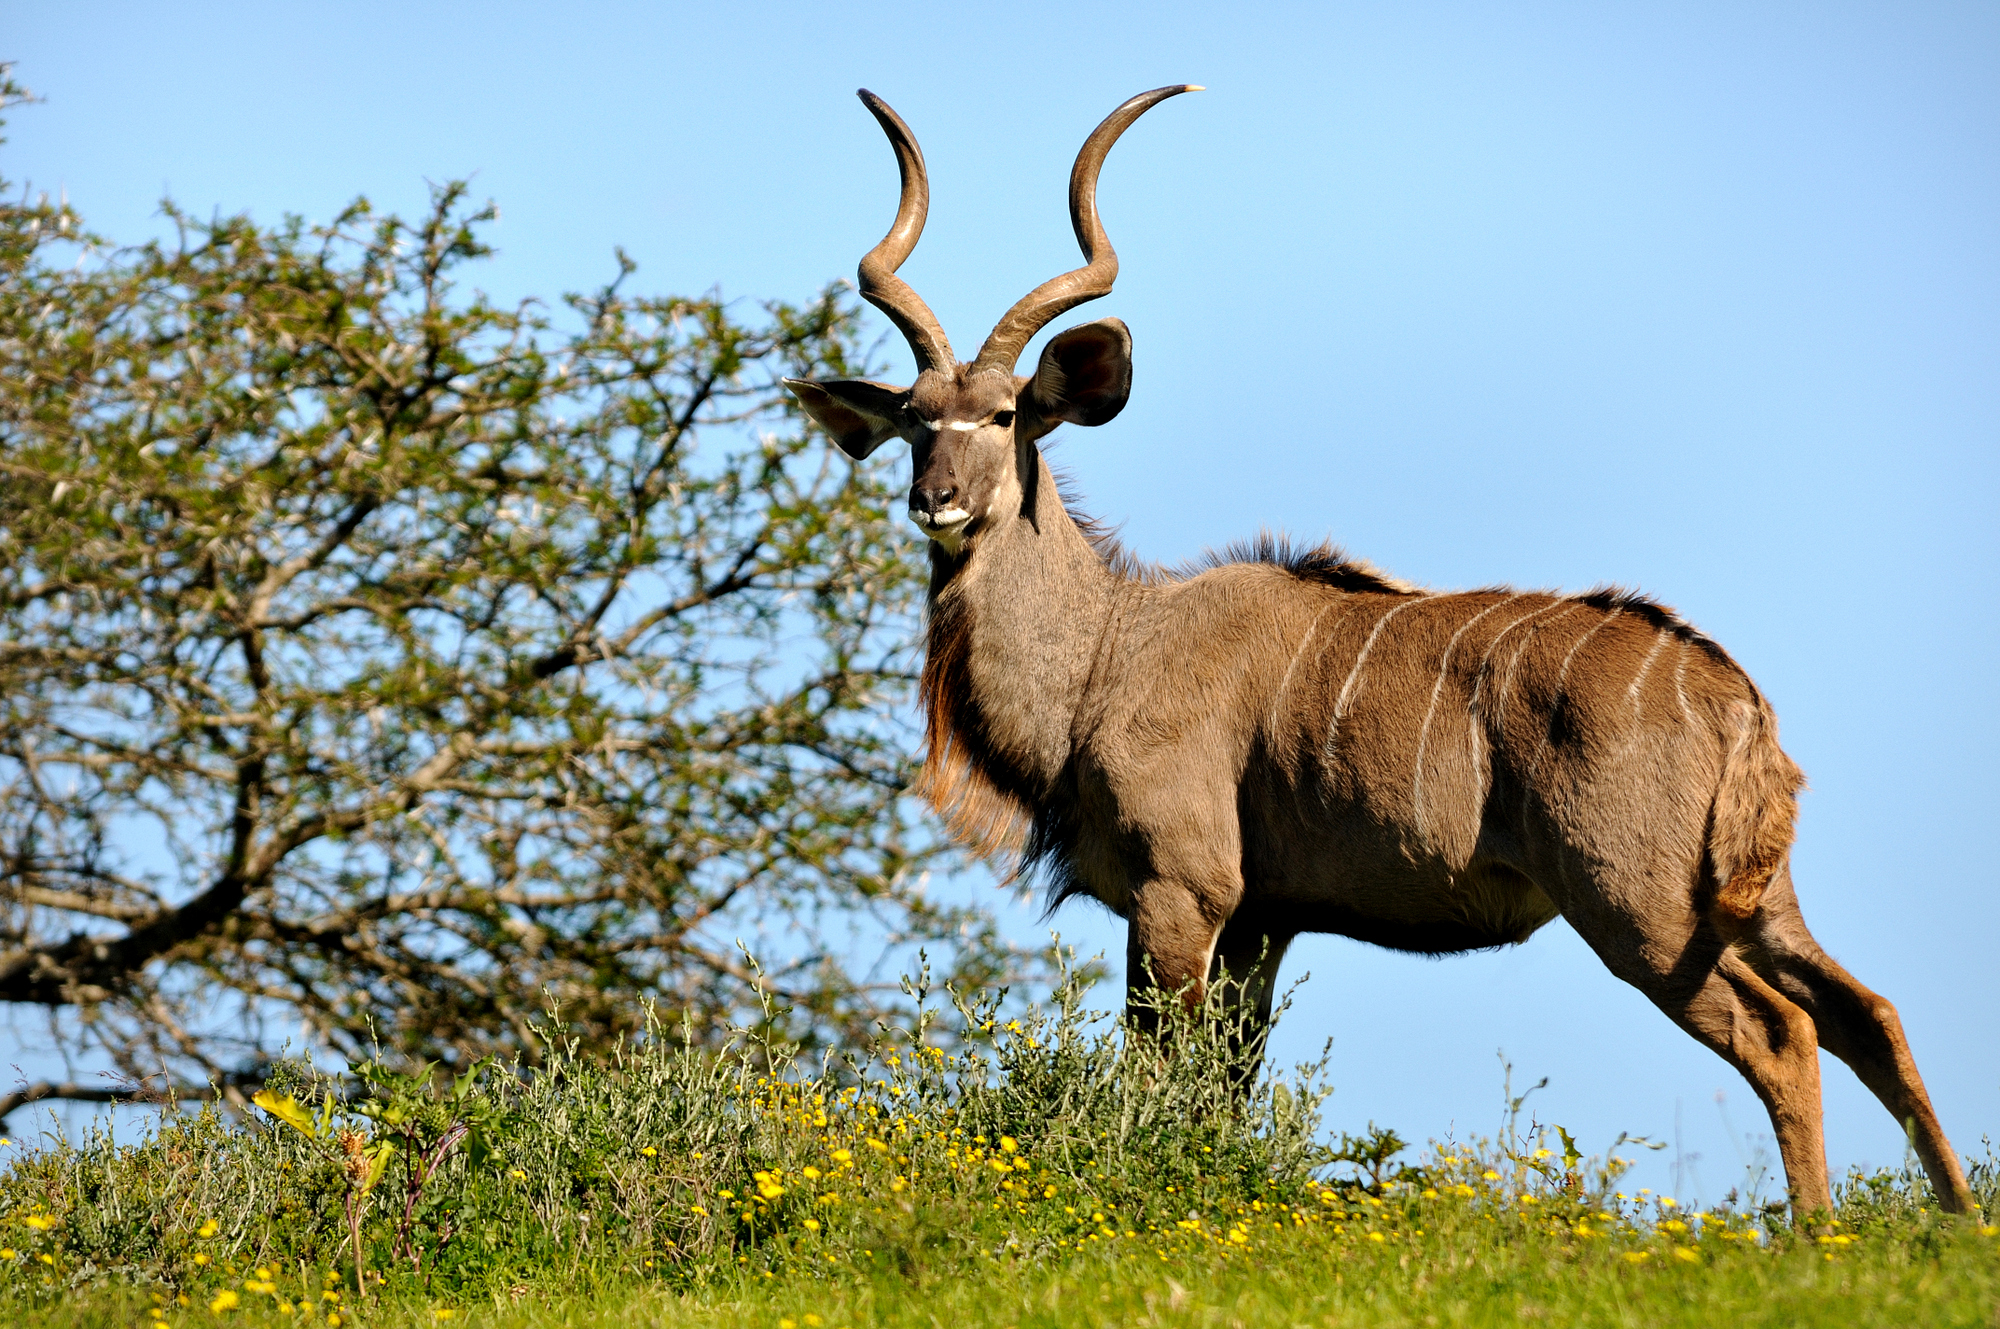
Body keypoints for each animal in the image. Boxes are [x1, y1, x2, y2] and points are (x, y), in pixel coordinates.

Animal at [784, 88, 1984, 1216]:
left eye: (1001, 416)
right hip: (1752, 902)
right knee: (1866, 1014)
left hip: (1639, 911)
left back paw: (1815, 1235)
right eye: (912, 418)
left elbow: (1159, 1077)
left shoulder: (1183, 893)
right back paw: (1955, 1221)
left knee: (1782, 1034)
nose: (935, 500)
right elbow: (1225, 1086)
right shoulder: (1261, 921)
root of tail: (1733, 693)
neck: (1109, 651)